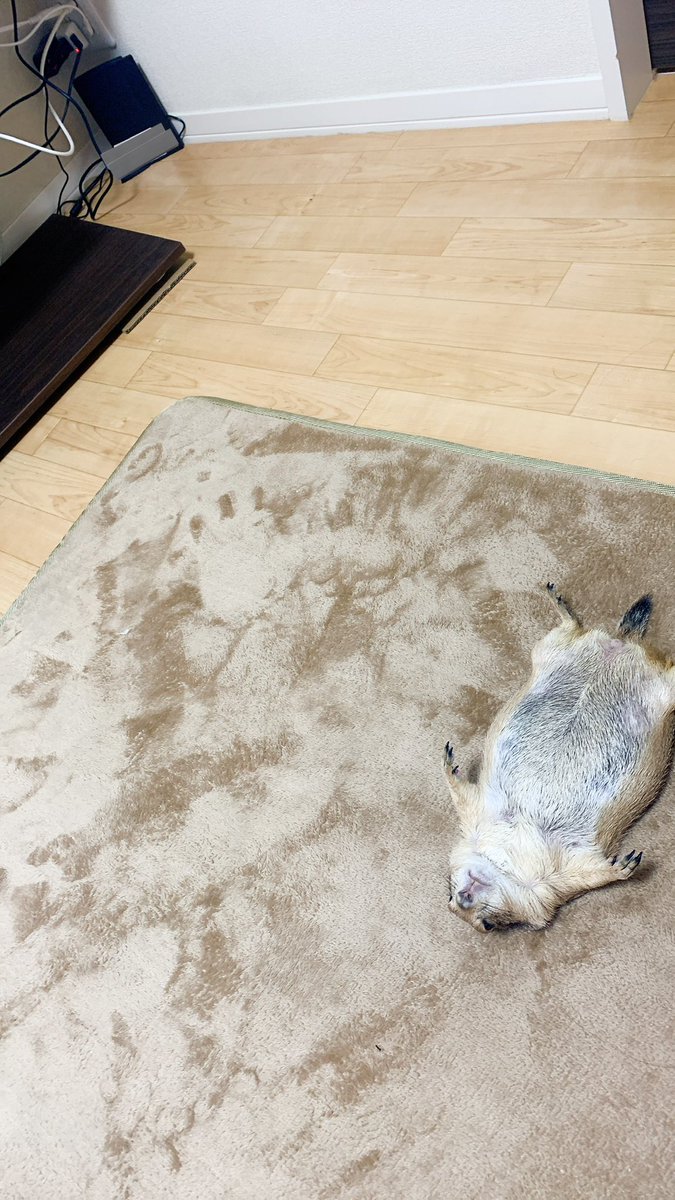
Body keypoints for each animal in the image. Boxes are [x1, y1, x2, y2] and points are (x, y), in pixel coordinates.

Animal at [446, 583, 675, 932]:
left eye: (487, 924)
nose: (461, 899)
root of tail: (620, 643)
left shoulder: (546, 879)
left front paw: (448, 761)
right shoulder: (548, 886)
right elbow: (584, 871)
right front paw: (625, 863)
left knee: (572, 625)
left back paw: (553, 595)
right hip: (553, 648)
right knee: (571, 630)